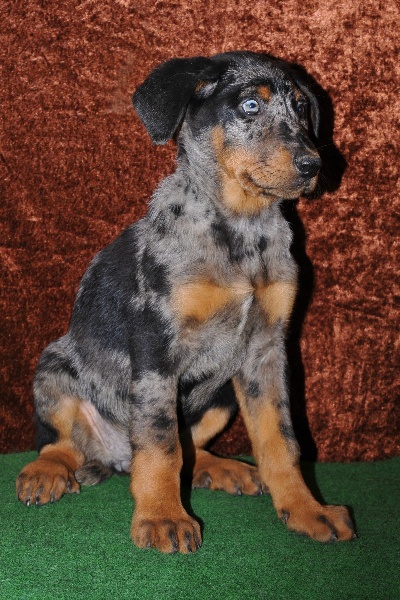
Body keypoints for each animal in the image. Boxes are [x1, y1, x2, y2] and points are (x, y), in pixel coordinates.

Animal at [16, 51, 355, 553]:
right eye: (250, 105)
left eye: (300, 108)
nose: (313, 165)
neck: (240, 228)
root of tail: (113, 458)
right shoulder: (157, 346)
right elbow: (161, 444)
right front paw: (162, 517)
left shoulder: (266, 353)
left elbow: (280, 440)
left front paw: (306, 510)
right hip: (52, 366)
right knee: (61, 442)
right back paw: (47, 472)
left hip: (224, 395)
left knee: (195, 448)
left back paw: (222, 468)